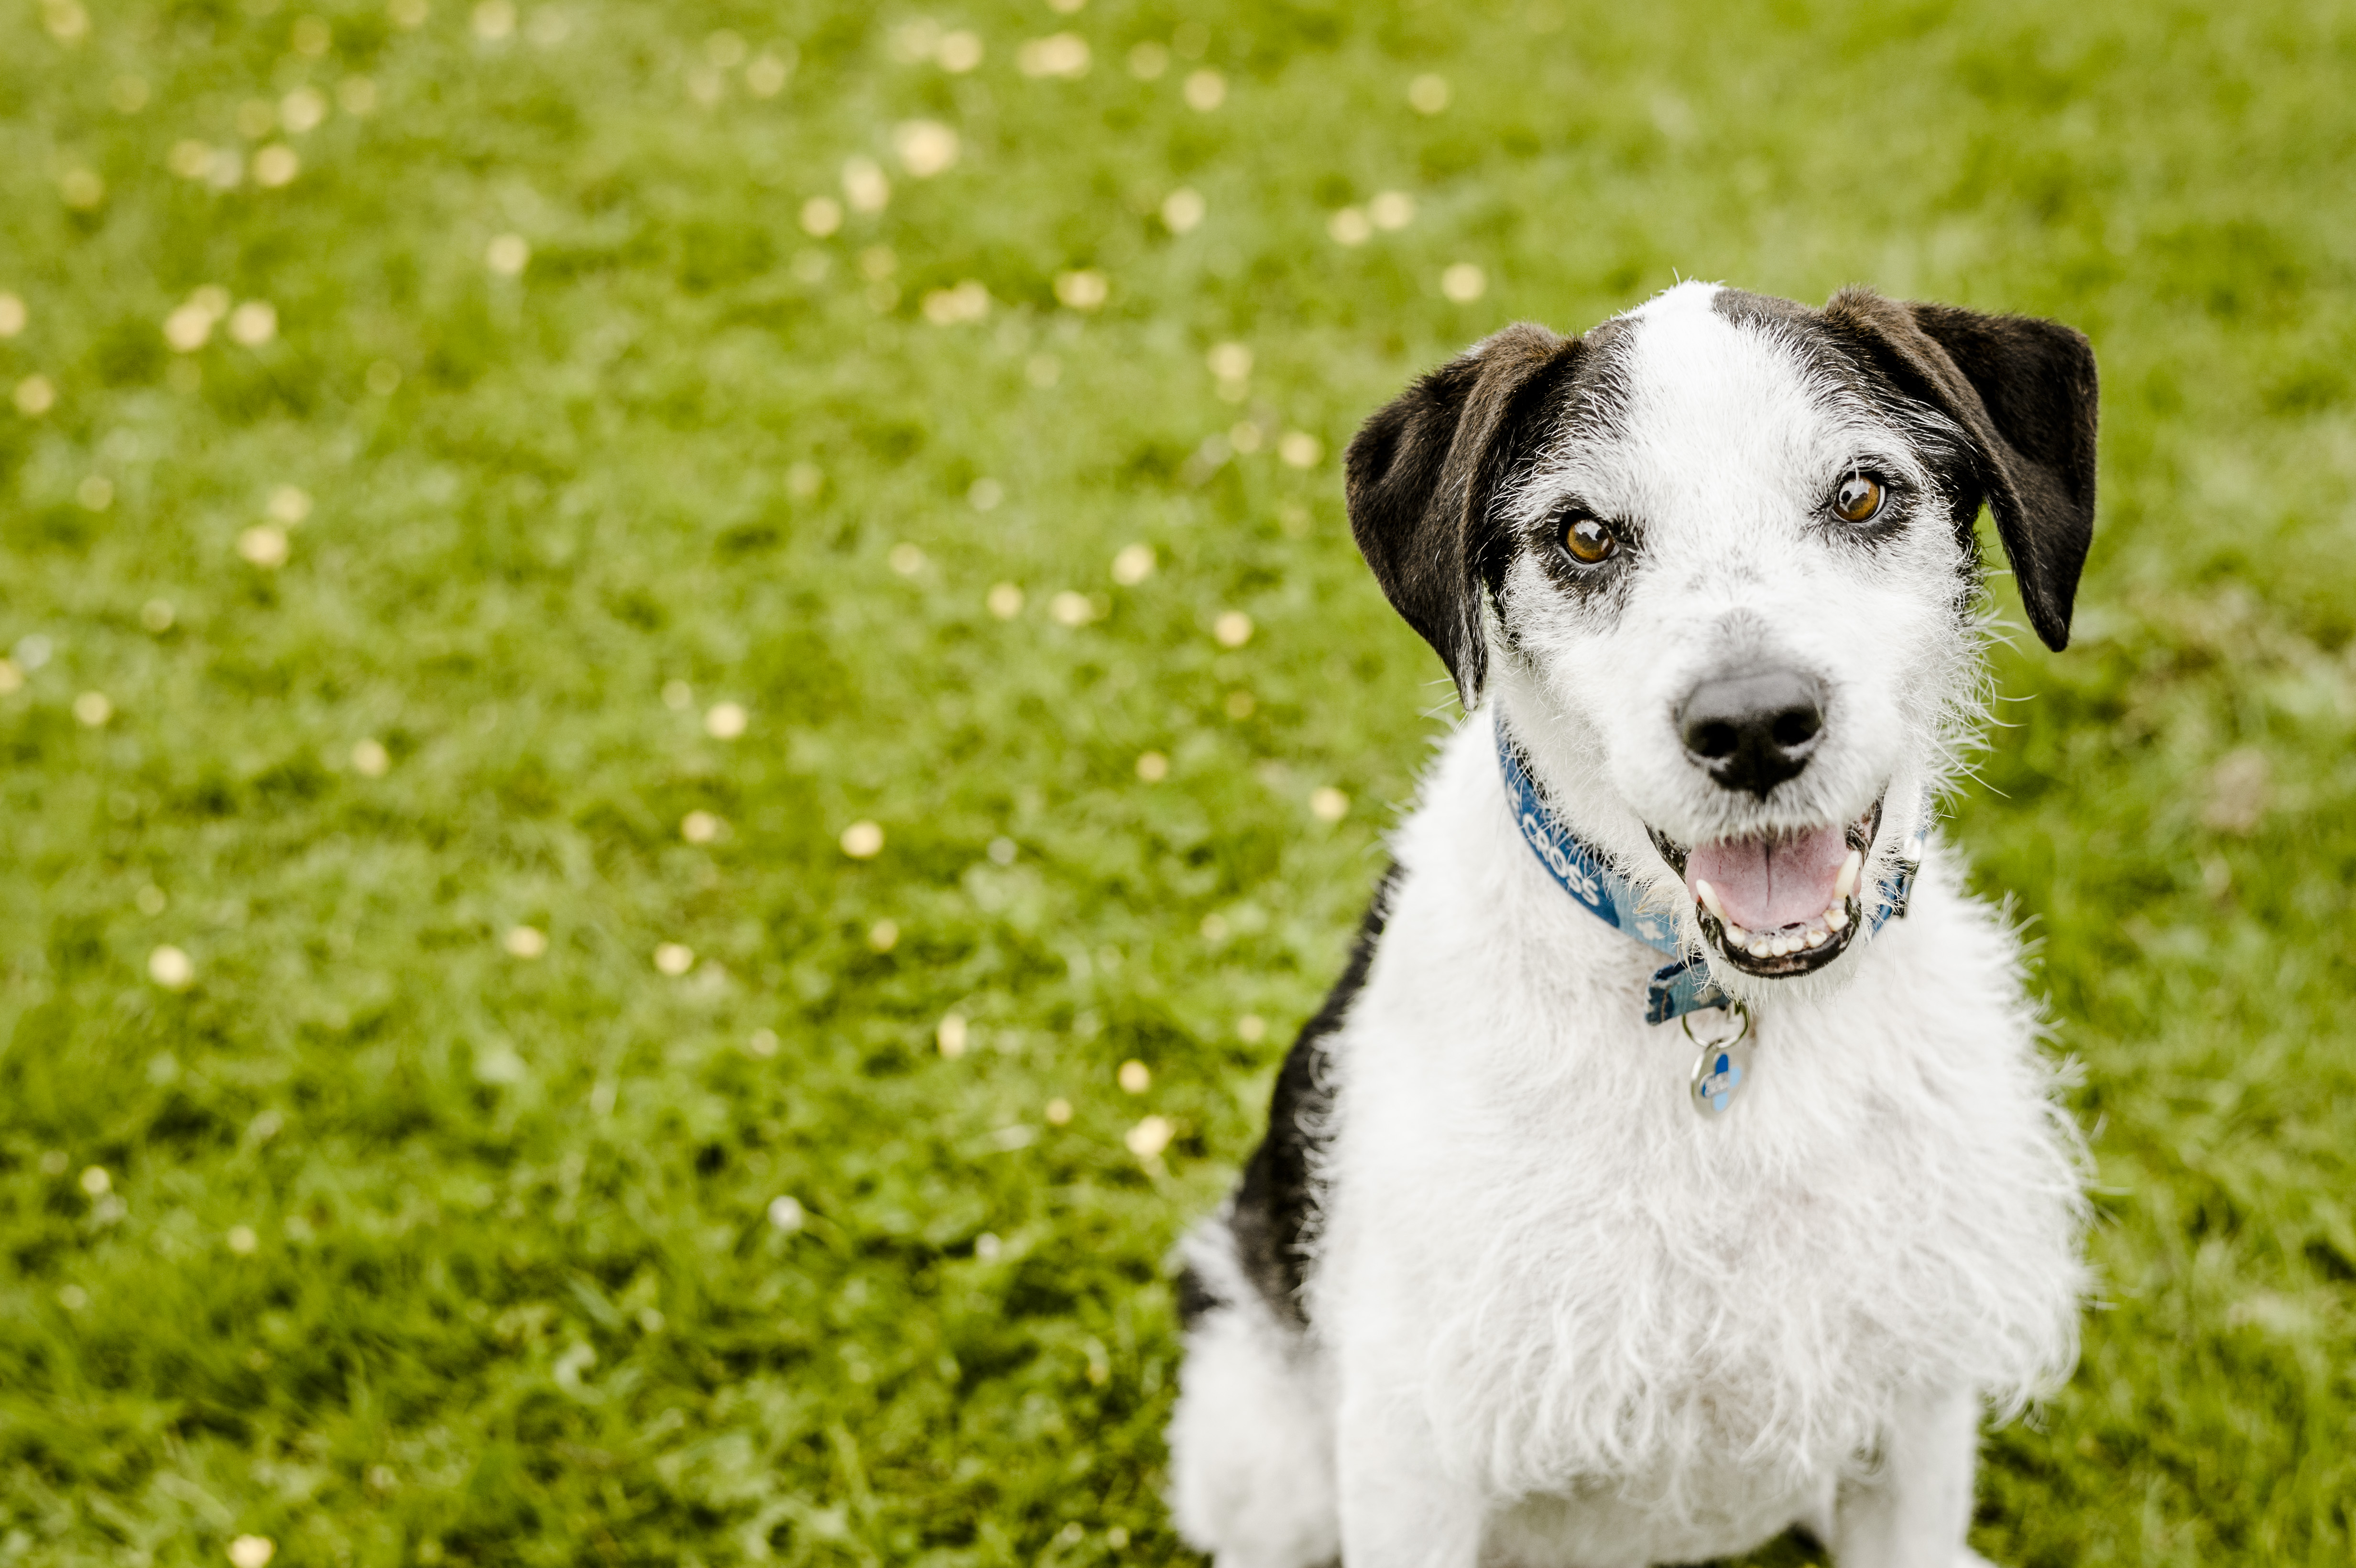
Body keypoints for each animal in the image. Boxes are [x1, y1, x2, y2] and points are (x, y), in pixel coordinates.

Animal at [1168, 283, 2092, 1563]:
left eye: (1861, 493)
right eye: (1585, 536)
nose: (1753, 726)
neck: (1739, 1017)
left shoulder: (1913, 1402)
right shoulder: (1414, 1440)